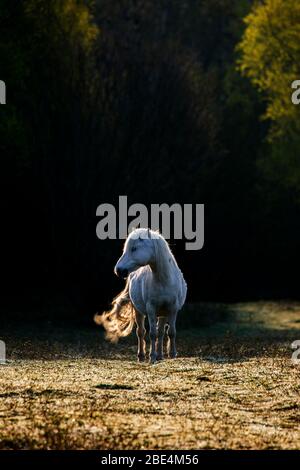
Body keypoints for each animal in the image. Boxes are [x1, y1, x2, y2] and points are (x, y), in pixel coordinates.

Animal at [95, 228, 186, 364]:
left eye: (134, 249)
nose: (118, 270)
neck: (164, 280)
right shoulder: (151, 309)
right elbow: (152, 334)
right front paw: (152, 356)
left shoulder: (173, 309)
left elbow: (171, 332)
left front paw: (172, 354)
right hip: (139, 311)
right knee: (141, 332)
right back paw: (142, 355)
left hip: (163, 313)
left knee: (161, 332)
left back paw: (160, 355)